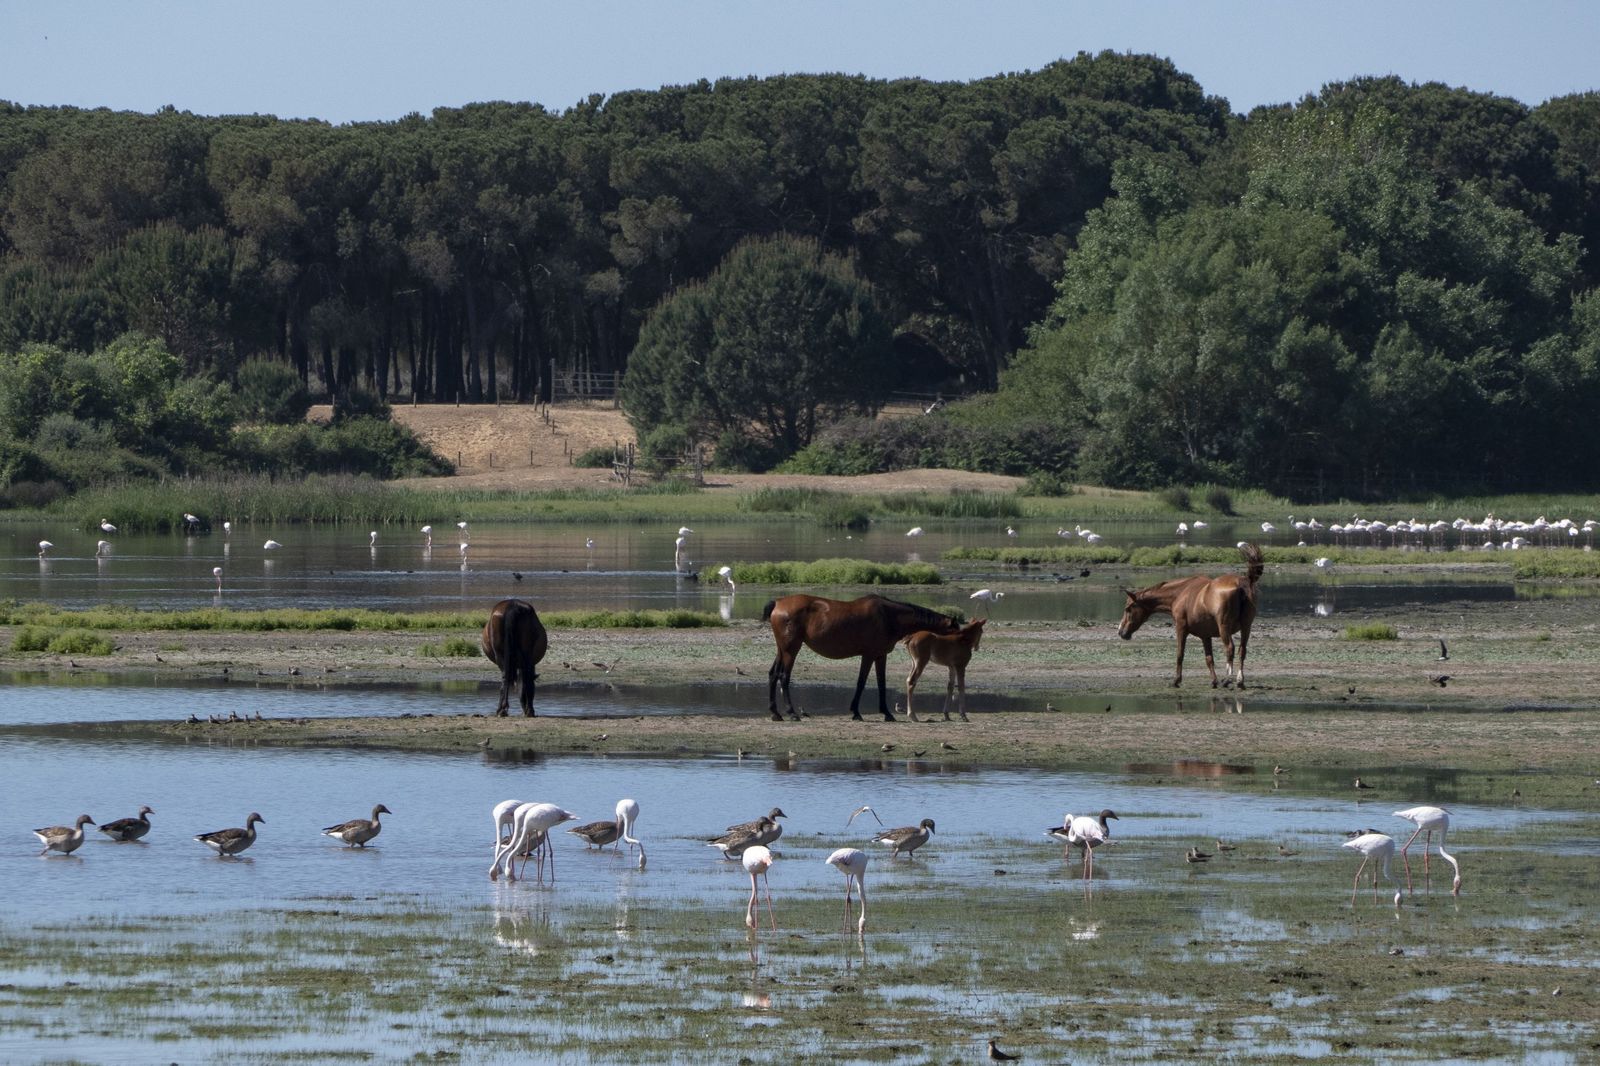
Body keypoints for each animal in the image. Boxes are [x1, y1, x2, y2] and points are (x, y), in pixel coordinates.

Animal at [762, 594, 960, 722]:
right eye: (955, 630)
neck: (889, 616)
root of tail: (778, 603)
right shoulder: (869, 655)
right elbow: (861, 682)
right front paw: (856, 712)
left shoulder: (880, 655)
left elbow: (881, 683)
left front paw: (886, 713)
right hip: (791, 649)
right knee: (784, 677)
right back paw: (791, 713)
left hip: (782, 649)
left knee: (773, 674)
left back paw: (775, 713)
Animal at [1118, 542, 1264, 688]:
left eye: (1128, 609)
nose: (1121, 632)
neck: (1180, 593)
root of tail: (1242, 582)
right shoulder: (1206, 636)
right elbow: (1209, 658)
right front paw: (1214, 681)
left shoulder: (1181, 628)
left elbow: (1180, 654)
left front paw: (1176, 680)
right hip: (1246, 627)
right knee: (1242, 650)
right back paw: (1239, 681)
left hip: (1224, 628)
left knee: (1230, 649)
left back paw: (1227, 680)